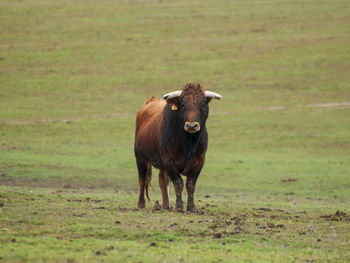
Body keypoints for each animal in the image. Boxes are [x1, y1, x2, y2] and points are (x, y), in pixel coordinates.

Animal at [134, 83, 221, 212]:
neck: (189, 141)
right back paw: (141, 204)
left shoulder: (199, 162)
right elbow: (178, 182)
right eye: (183, 105)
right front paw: (179, 207)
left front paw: (191, 207)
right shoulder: (169, 162)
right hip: (140, 158)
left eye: (202, 104)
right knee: (142, 179)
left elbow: (190, 184)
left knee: (162, 181)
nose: (191, 126)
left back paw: (166, 205)